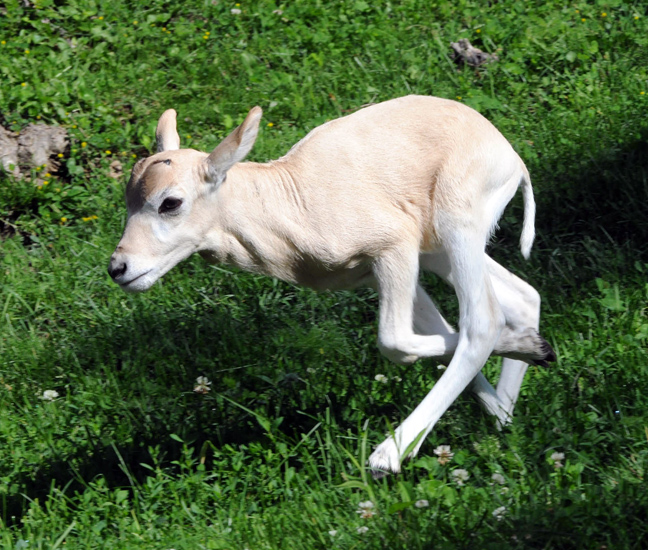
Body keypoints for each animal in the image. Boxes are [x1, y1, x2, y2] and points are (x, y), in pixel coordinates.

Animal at [109, 97, 556, 476]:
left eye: (170, 202)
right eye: (128, 199)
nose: (119, 267)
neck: (288, 201)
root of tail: (509, 154)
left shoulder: (392, 245)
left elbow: (395, 342)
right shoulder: (377, 269)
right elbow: (434, 332)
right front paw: (526, 360)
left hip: (456, 224)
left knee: (482, 321)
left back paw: (390, 454)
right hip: (435, 249)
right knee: (520, 297)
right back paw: (504, 411)